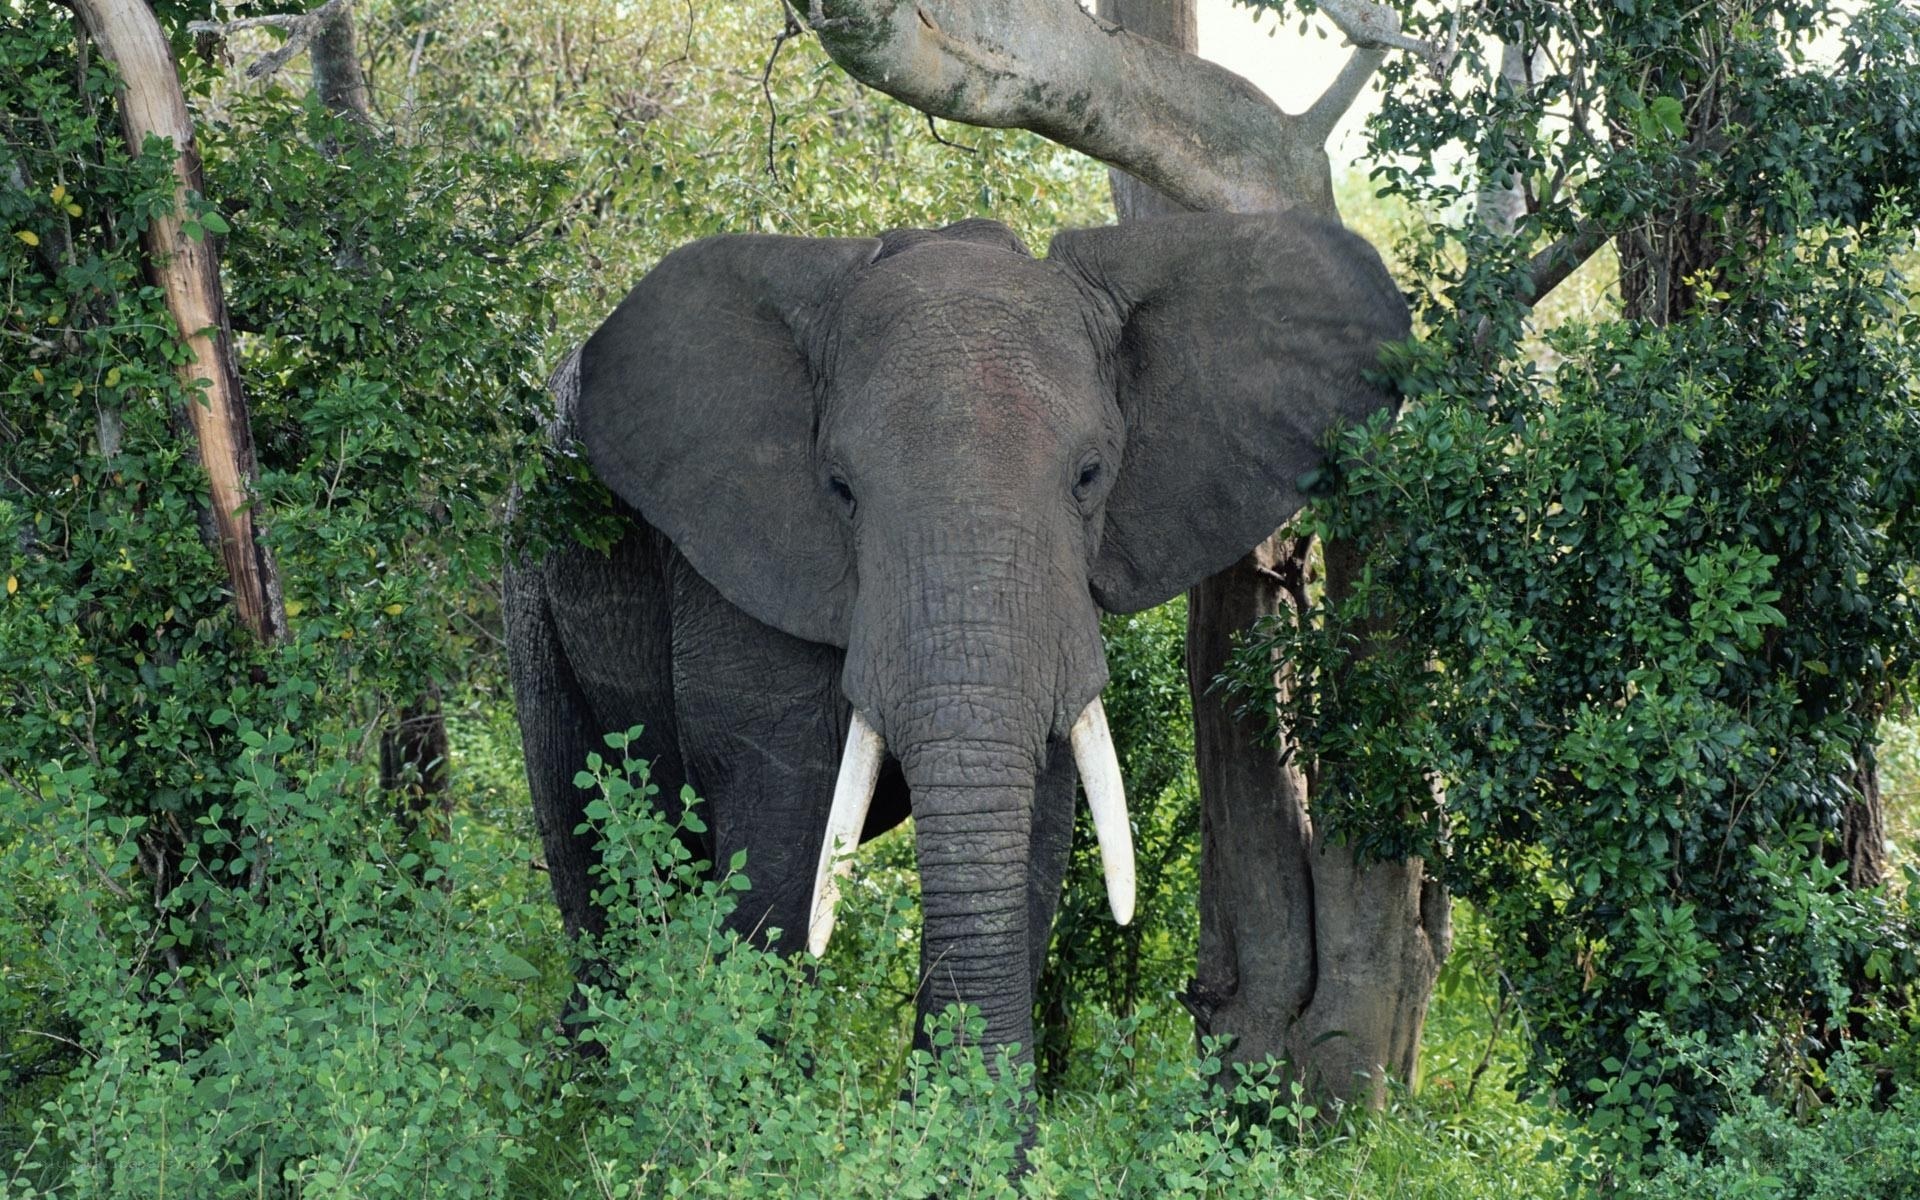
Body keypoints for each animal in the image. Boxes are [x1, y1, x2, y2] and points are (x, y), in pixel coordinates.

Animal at [504, 210, 1408, 1075]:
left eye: (1090, 476)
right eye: (839, 489)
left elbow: (1037, 824)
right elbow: (782, 832)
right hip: (530, 580)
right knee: (595, 854)